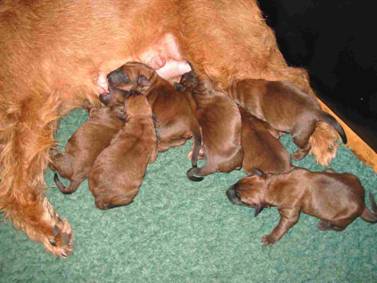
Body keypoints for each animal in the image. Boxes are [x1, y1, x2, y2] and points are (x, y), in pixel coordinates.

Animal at [0, 0, 336, 256]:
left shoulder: (30, 110)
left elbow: (13, 185)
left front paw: (46, 225)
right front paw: (46, 228)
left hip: (226, 52)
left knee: (296, 78)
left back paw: (323, 137)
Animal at [226, 168, 376, 245]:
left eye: (240, 199)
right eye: (237, 183)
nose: (226, 192)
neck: (271, 186)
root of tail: (362, 203)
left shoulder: (290, 213)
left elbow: (280, 227)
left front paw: (270, 238)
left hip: (340, 220)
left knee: (339, 228)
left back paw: (324, 225)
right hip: (346, 175)